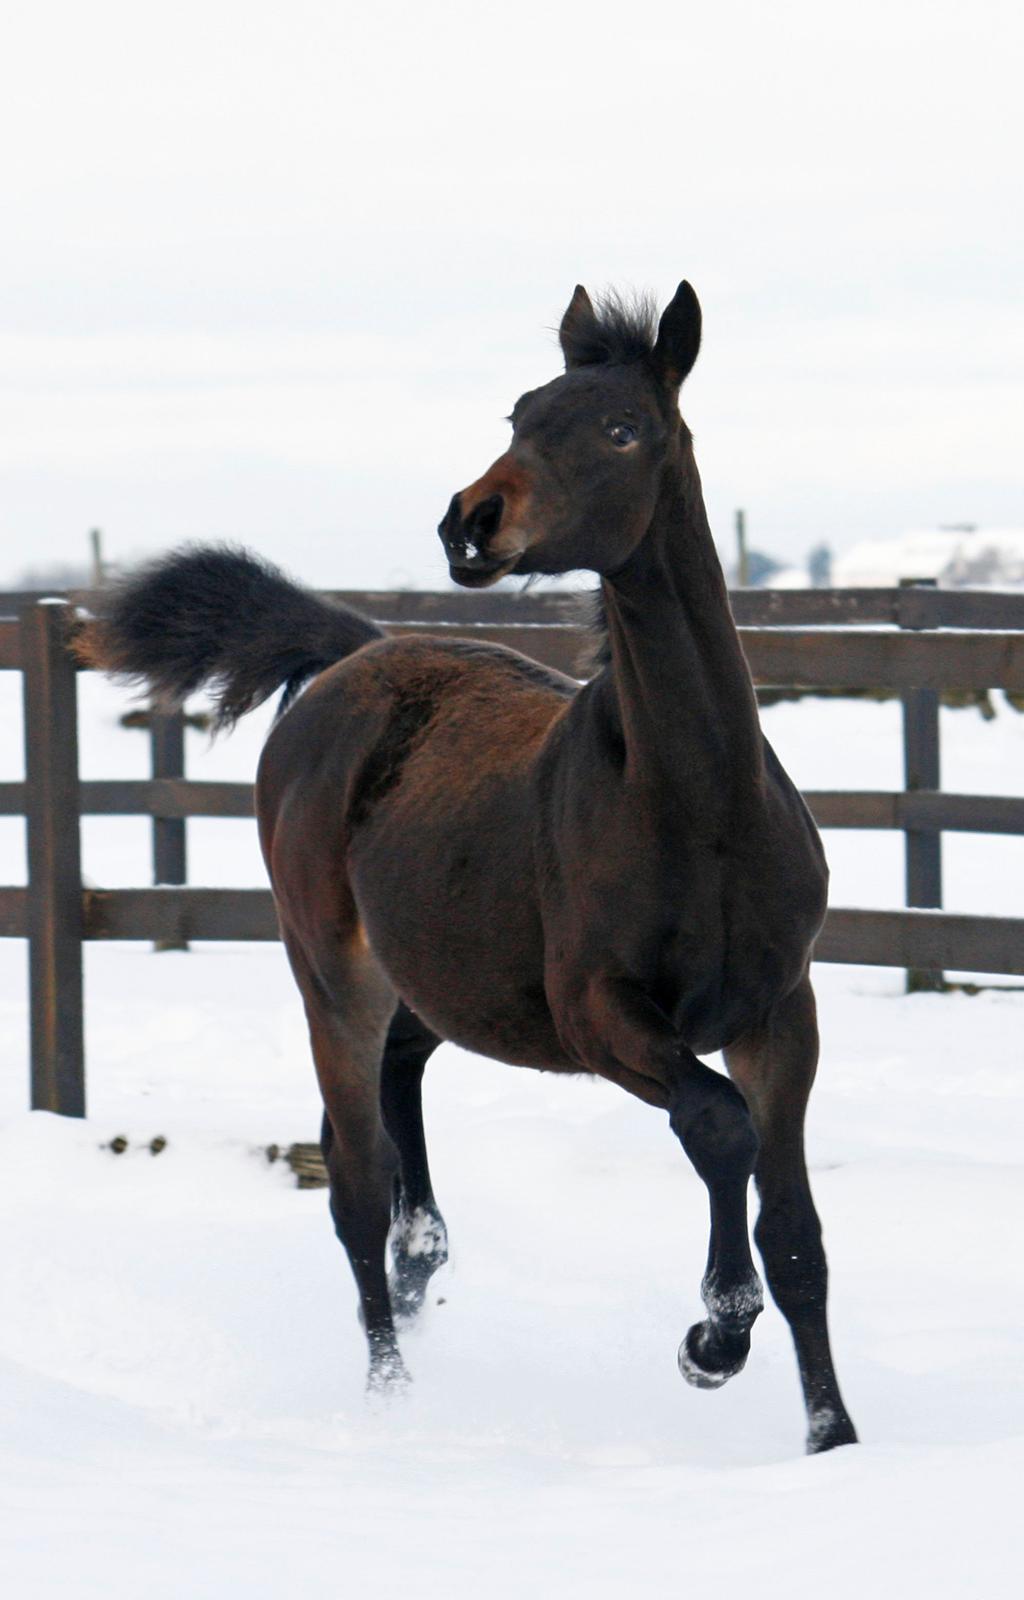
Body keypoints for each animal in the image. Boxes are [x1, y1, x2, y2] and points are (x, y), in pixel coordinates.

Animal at [80, 281, 857, 1459]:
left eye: (620, 428)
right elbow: (718, 1125)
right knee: (355, 1181)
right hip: (331, 975)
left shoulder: (781, 1012)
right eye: (520, 414)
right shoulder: (597, 1017)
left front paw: (832, 1439)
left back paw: (417, 1280)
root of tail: (354, 652)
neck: (700, 812)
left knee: (397, 1102)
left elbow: (800, 1234)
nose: (469, 523)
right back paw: (392, 1392)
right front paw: (712, 1342)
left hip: (432, 982)